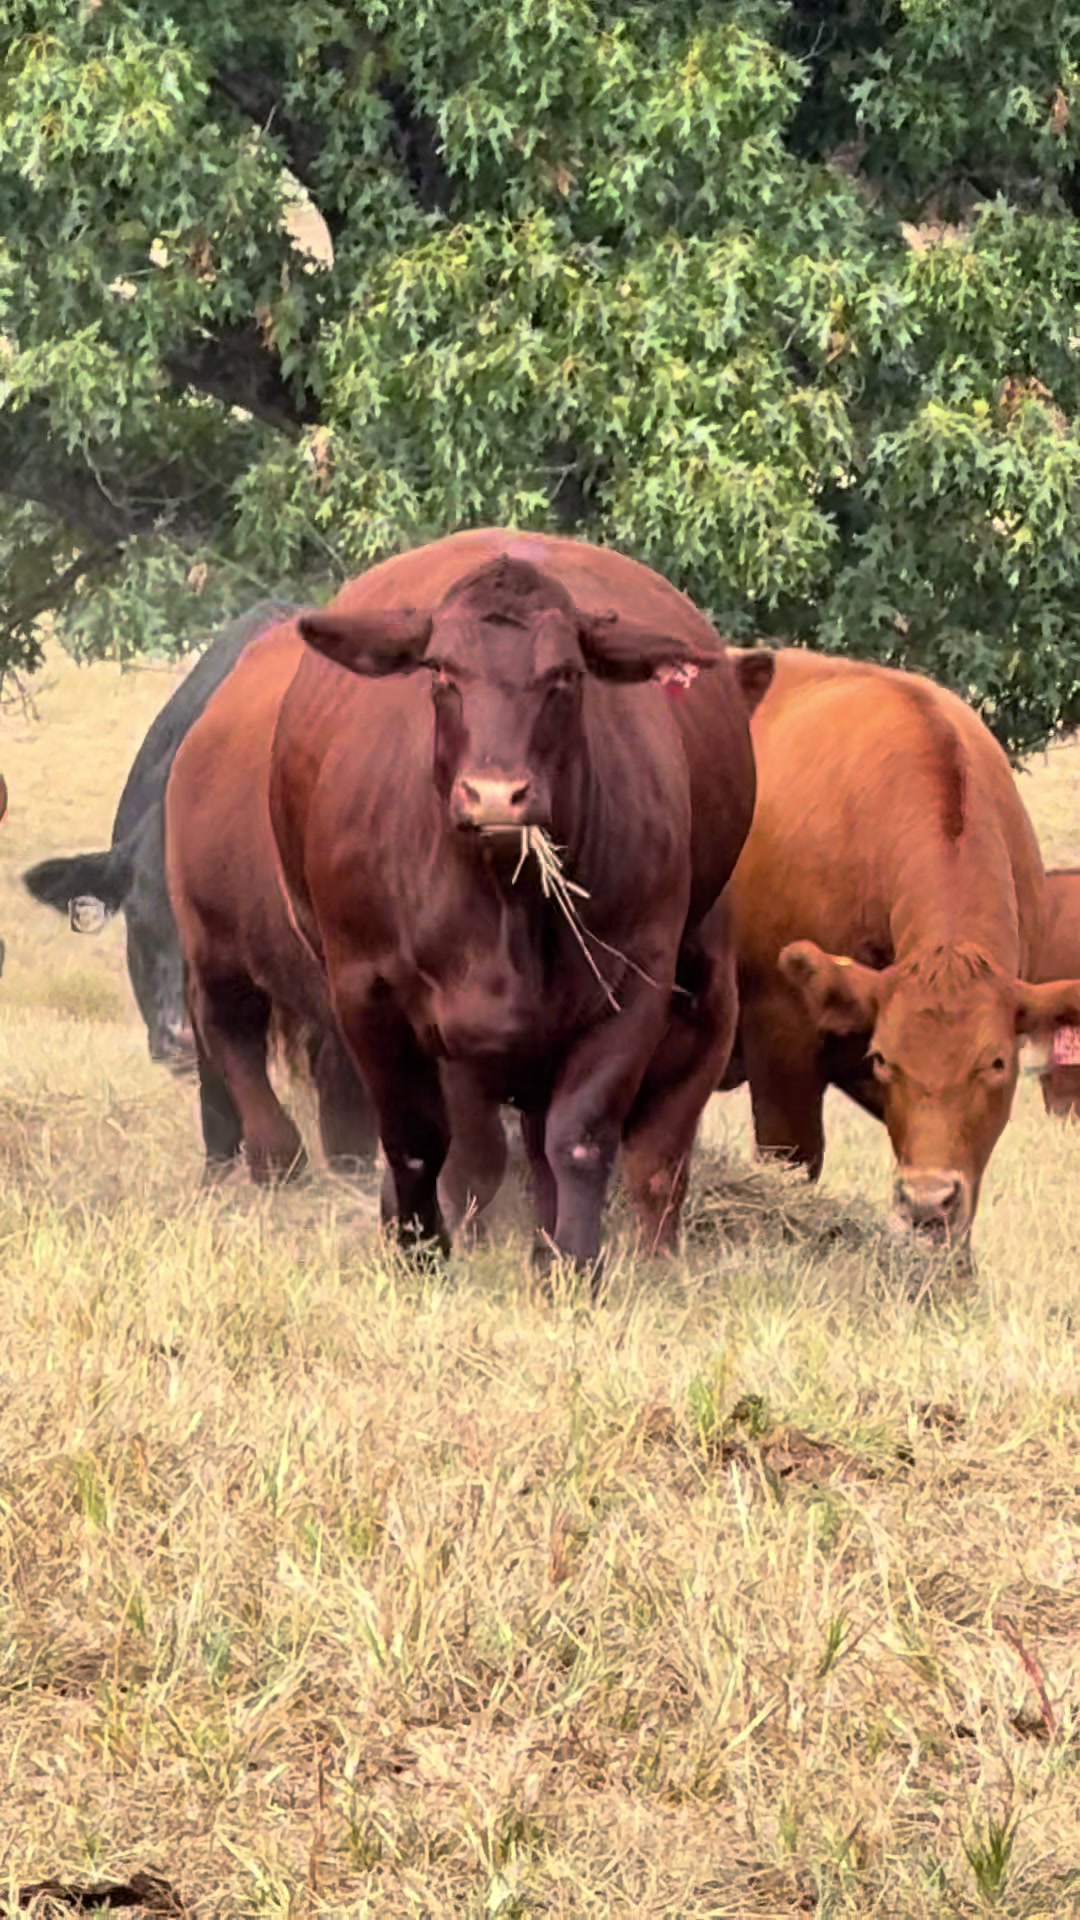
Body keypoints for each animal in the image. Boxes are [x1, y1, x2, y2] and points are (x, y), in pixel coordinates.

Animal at [167, 530, 772, 1269]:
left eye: (564, 676)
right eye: (441, 675)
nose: (494, 795)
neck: (501, 898)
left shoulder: (641, 990)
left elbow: (589, 1142)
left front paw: (572, 1264)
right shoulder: (373, 993)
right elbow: (419, 1139)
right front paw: (419, 1248)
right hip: (216, 946)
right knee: (228, 1029)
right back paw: (278, 1157)